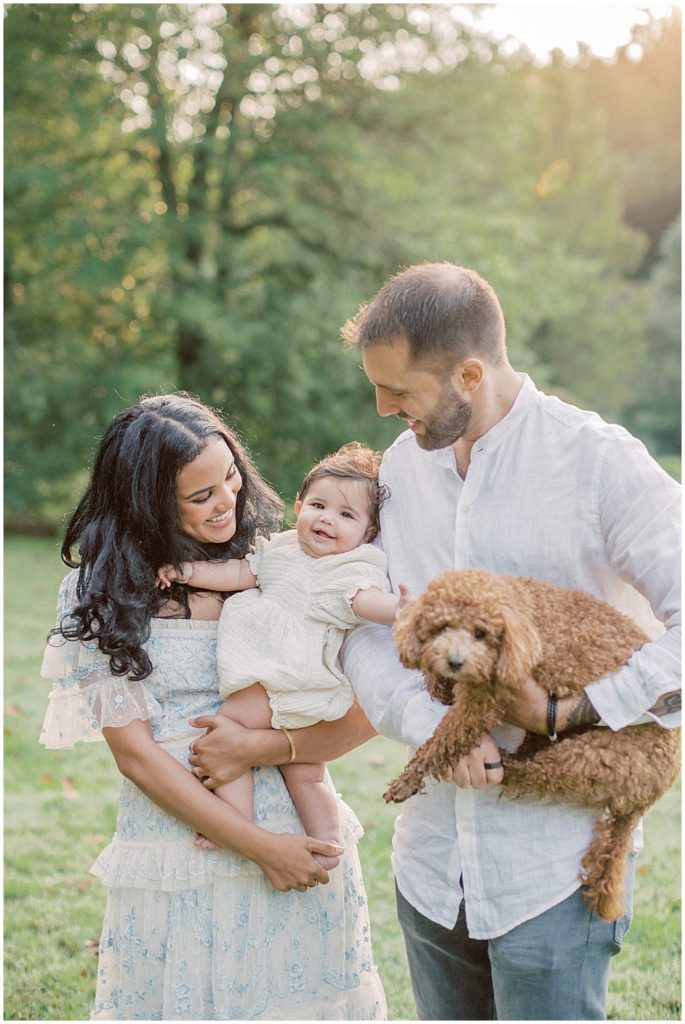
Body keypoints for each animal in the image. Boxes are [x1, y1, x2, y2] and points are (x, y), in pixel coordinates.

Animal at [384, 569, 679, 921]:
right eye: (442, 627)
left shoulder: (483, 699)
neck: (516, 606)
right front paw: (436, 682)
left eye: (480, 633)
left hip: (587, 758)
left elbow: (443, 738)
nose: (455, 661)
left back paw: (501, 761)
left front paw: (406, 781)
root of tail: (646, 800)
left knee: (525, 774)